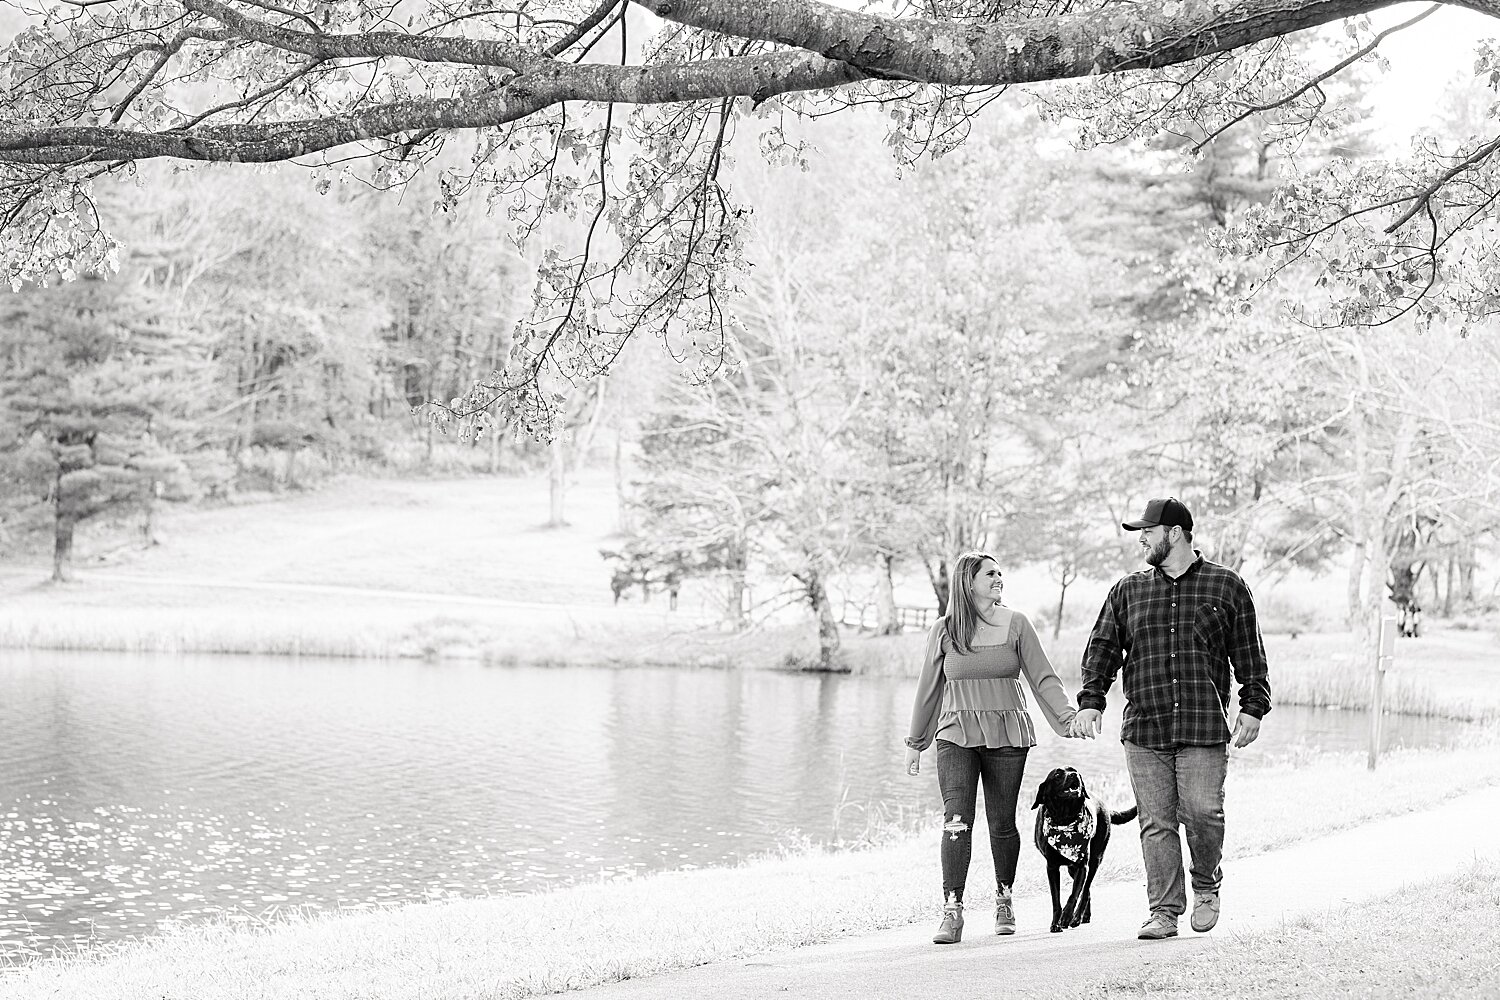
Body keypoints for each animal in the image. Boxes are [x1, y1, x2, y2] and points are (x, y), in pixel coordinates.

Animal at [1032, 773, 1134, 935]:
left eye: (1074, 771)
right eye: (1058, 774)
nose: (1074, 775)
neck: (1064, 819)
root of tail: (1104, 804)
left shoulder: (1082, 866)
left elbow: (1074, 894)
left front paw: (1066, 916)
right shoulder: (1052, 867)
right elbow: (1056, 899)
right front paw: (1055, 923)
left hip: (1094, 860)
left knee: (1085, 890)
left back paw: (1077, 917)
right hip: (1072, 868)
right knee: (1087, 889)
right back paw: (1084, 916)